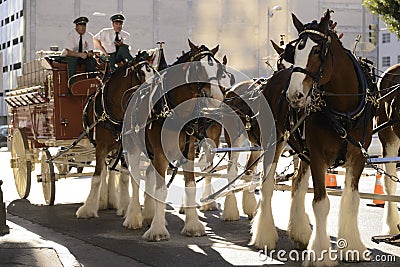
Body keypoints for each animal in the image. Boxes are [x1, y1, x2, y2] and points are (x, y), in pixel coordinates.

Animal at [76, 51, 155, 221]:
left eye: (154, 72)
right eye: (141, 73)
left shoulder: (124, 145)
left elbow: (124, 175)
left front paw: (124, 206)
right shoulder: (100, 146)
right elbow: (96, 177)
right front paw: (88, 209)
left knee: (111, 169)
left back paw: (109, 199)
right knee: (105, 170)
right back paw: (102, 200)